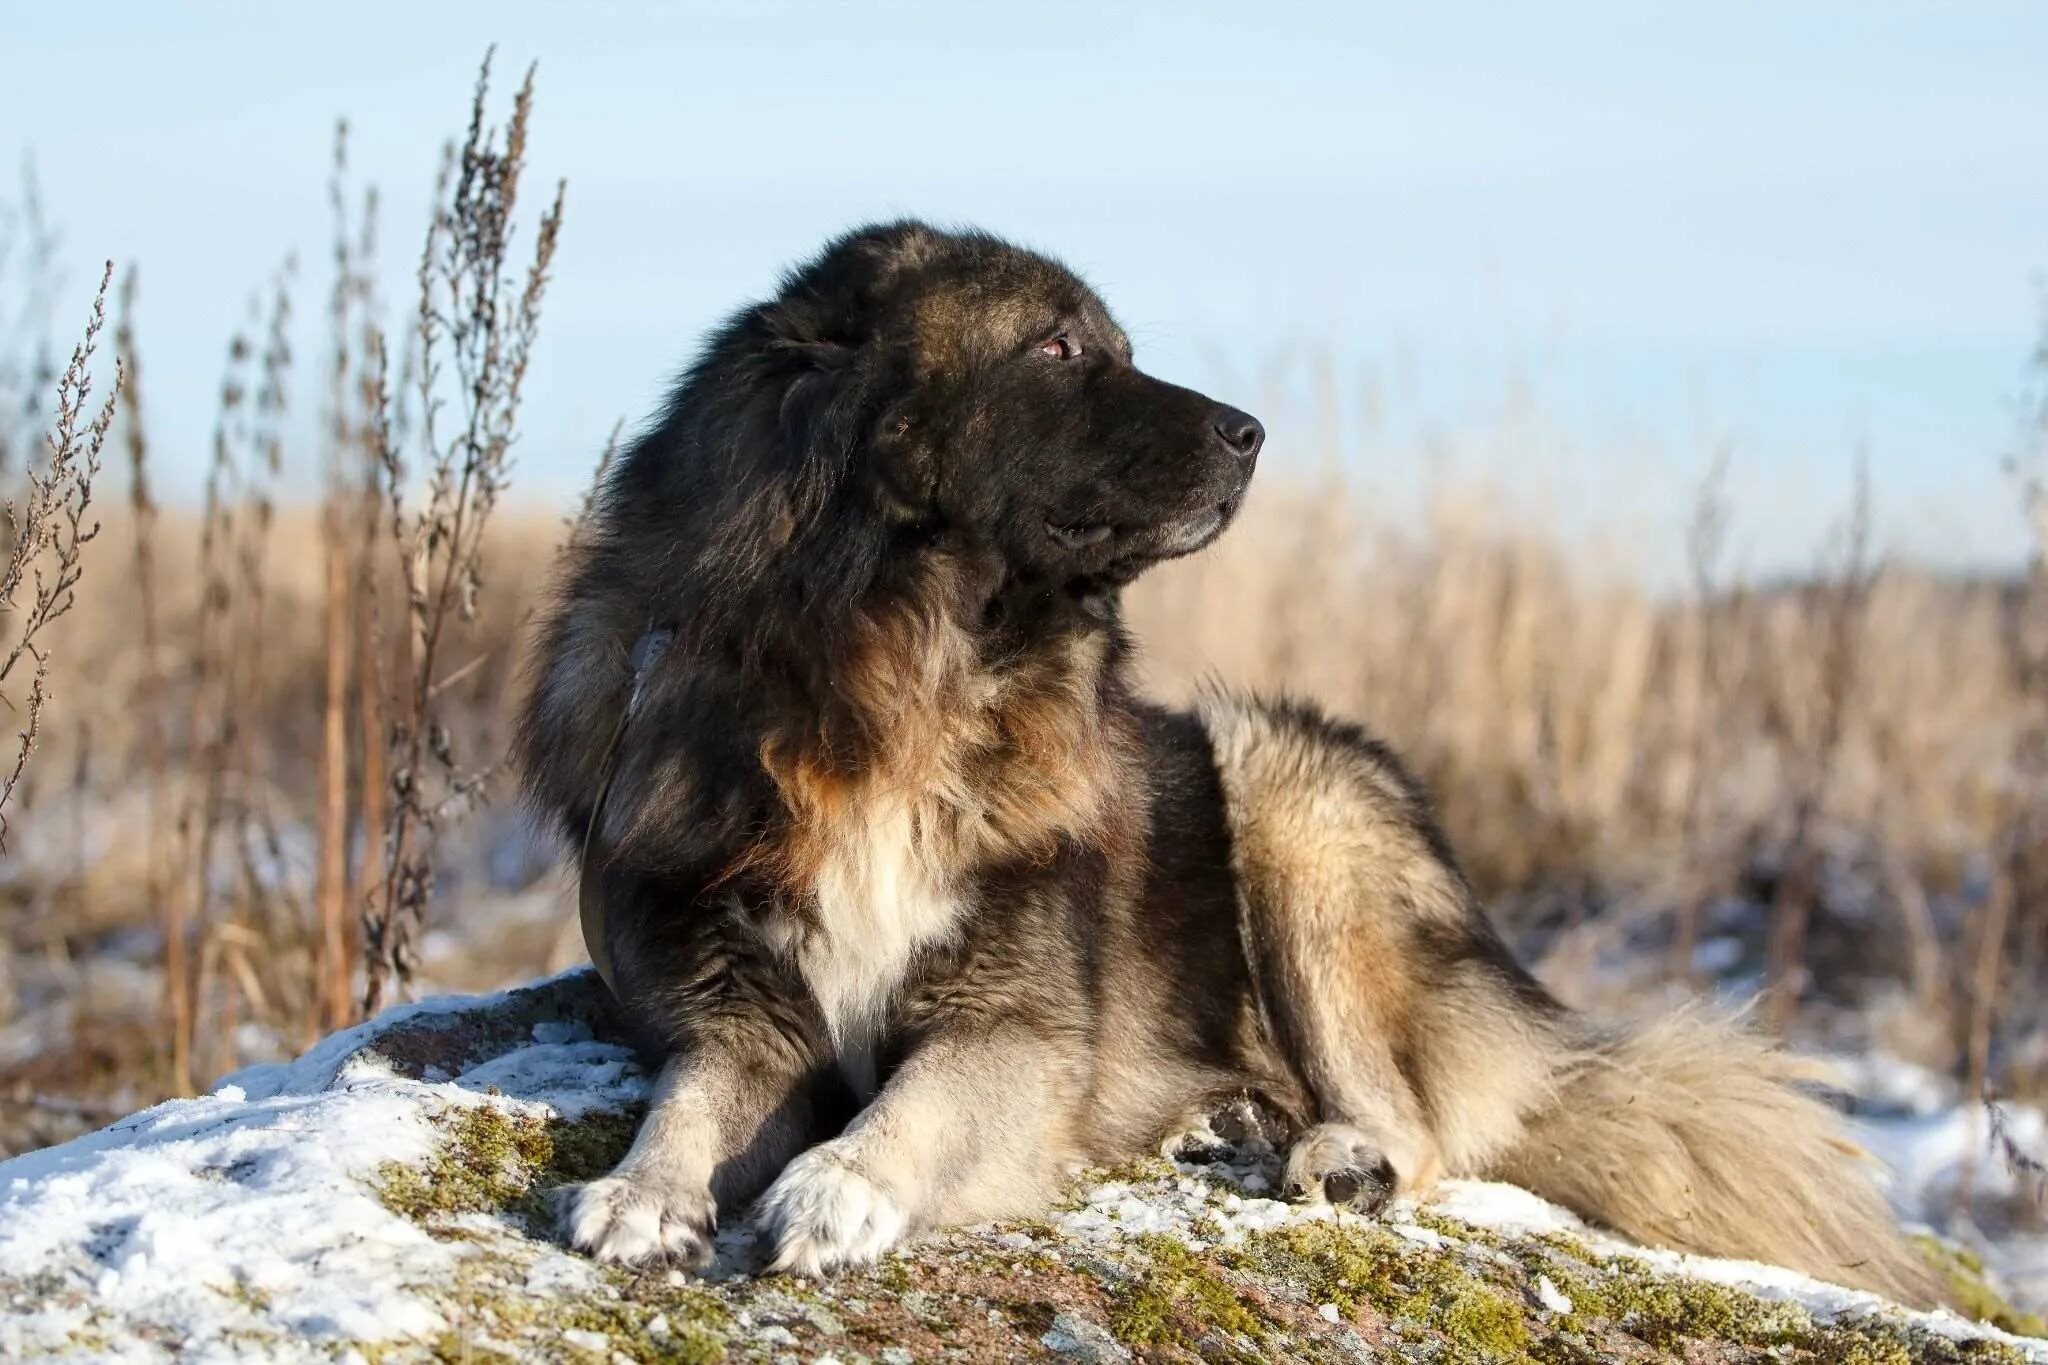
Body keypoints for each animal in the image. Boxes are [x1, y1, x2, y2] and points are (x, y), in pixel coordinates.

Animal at [520, 218, 1941, 1309]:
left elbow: (915, 1104)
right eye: (1055, 347)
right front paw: (643, 1191)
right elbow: (696, 1094)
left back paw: (1330, 1151)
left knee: (1422, 1125)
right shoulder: (740, 1003)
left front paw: (840, 1181)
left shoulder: (1017, 1029)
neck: (903, 674)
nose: (1250, 431)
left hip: (1282, 801)